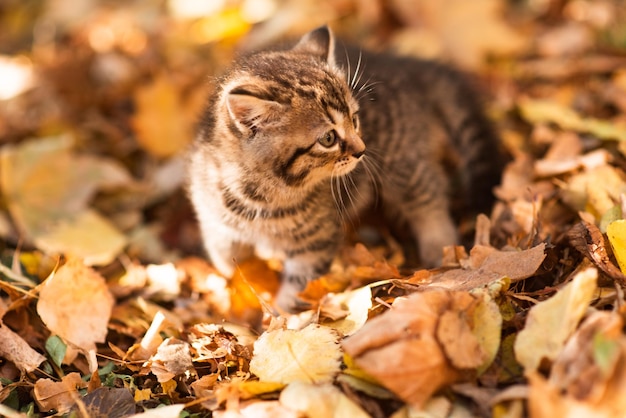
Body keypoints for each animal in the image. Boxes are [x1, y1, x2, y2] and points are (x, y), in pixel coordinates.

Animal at [186, 24, 502, 308]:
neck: (263, 195)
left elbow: (299, 287)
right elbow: (224, 254)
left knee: (427, 193)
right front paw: (233, 276)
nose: (362, 150)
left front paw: (281, 319)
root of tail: (405, 69)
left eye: (355, 119)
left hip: (401, 157)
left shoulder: (315, 243)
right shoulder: (214, 218)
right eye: (328, 138)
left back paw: (441, 246)